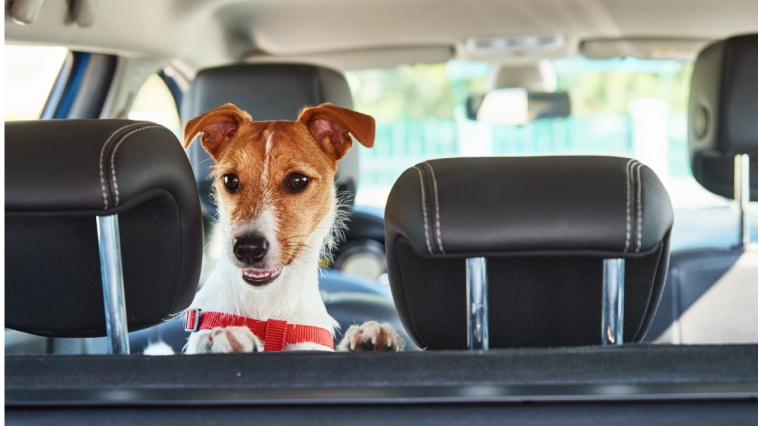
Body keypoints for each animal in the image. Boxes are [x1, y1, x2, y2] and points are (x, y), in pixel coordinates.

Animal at [180, 102, 404, 352]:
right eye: (230, 180)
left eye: (297, 181)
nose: (247, 249)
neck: (270, 318)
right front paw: (223, 336)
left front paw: (367, 337)